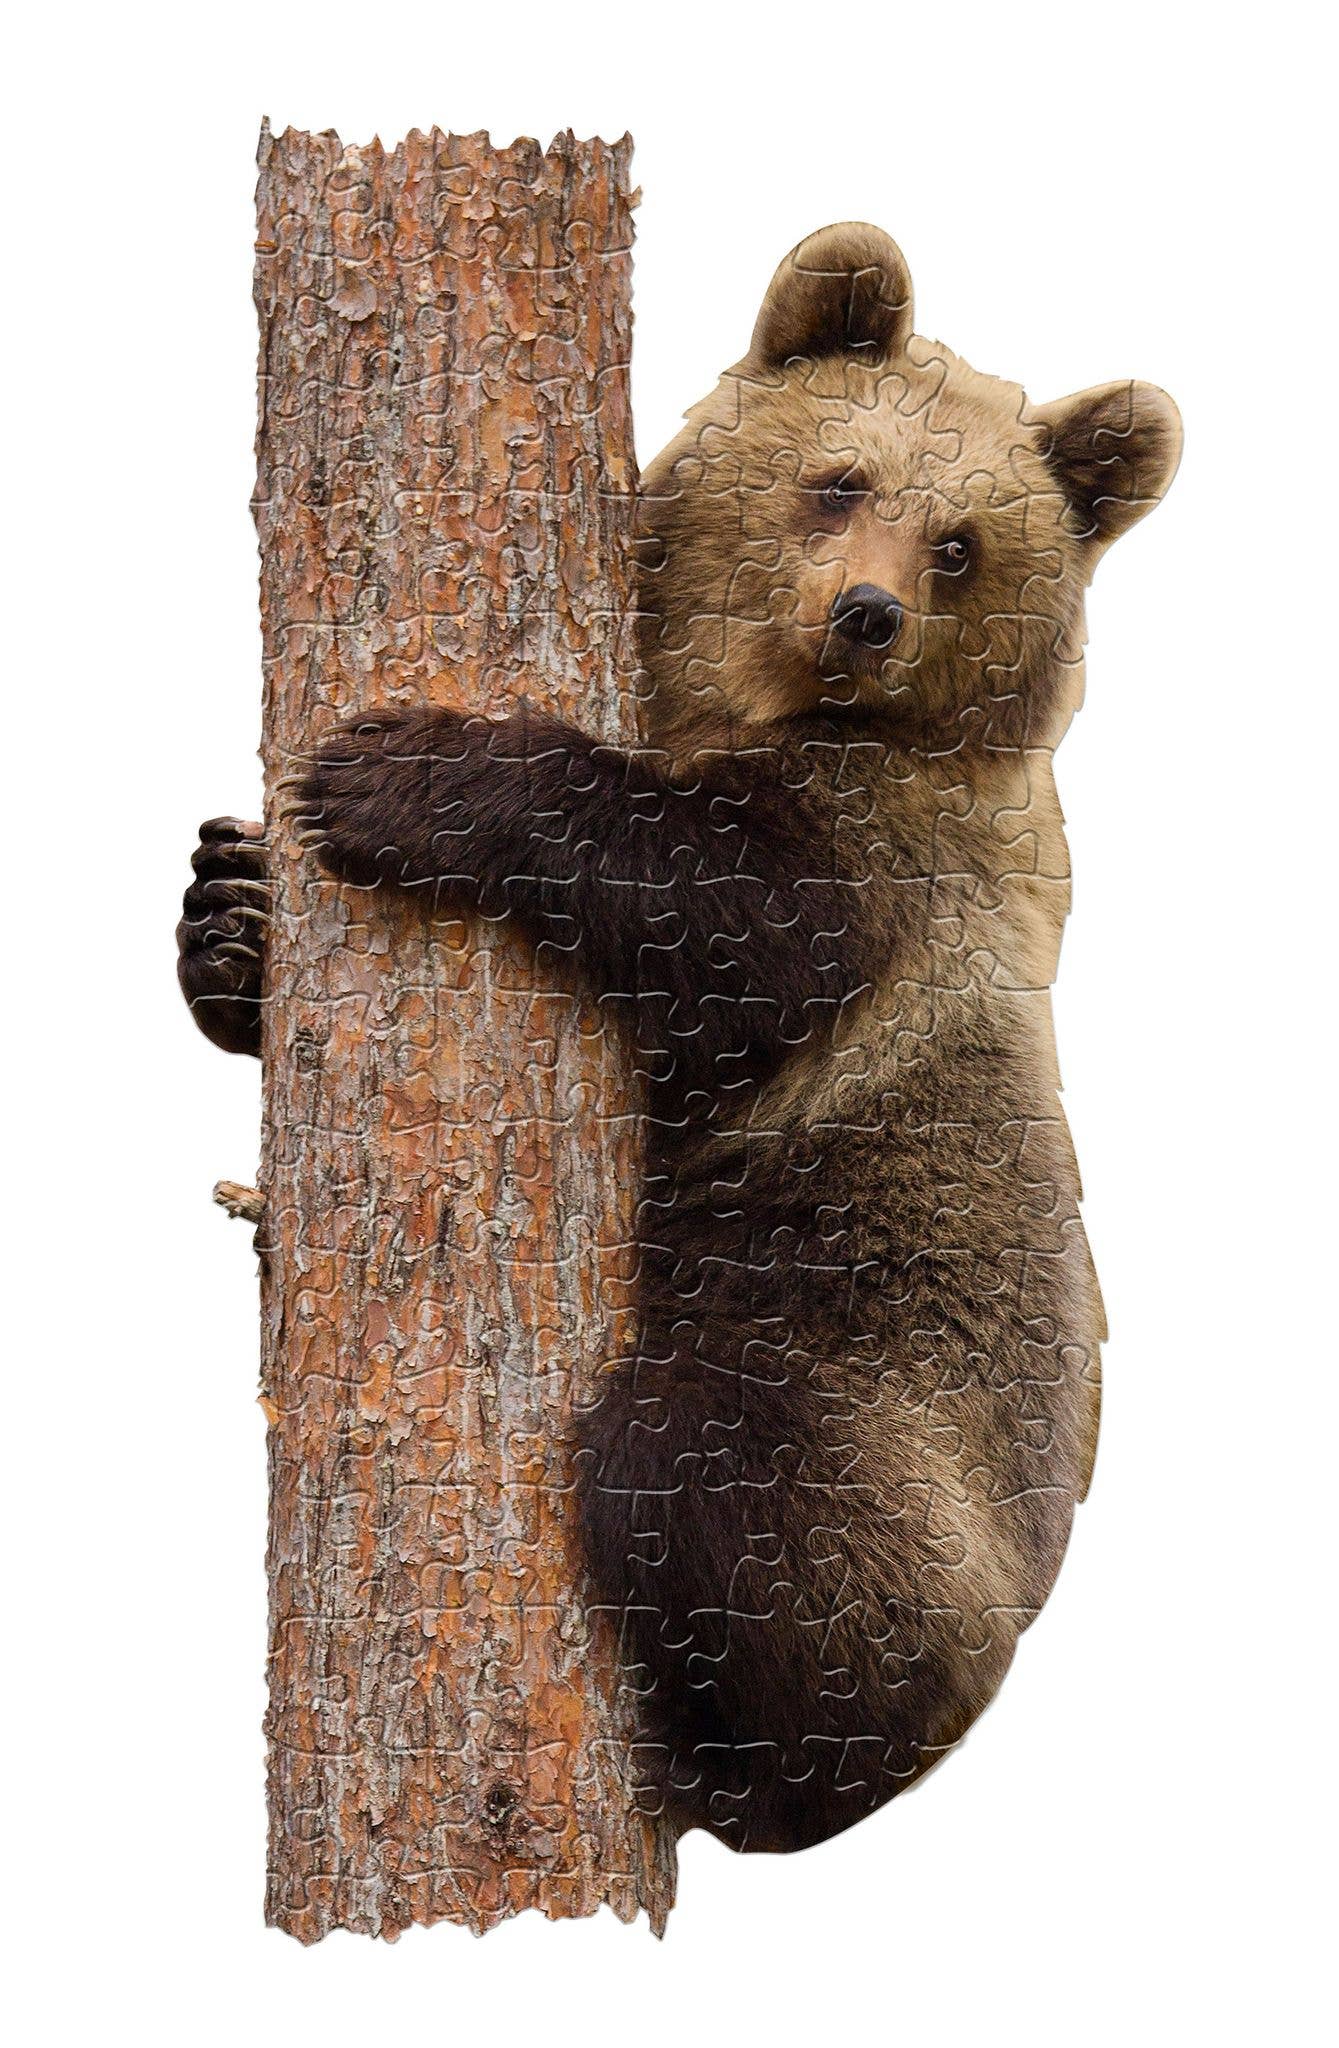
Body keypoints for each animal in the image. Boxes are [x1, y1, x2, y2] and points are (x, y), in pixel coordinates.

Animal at [178, 224, 1181, 1853]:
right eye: (838, 479)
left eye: (960, 542)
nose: (863, 615)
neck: (745, 701)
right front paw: (230, 911)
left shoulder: (886, 864)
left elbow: (713, 917)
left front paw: (402, 774)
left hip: (870, 1398)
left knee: (711, 1474)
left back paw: (742, 1759)